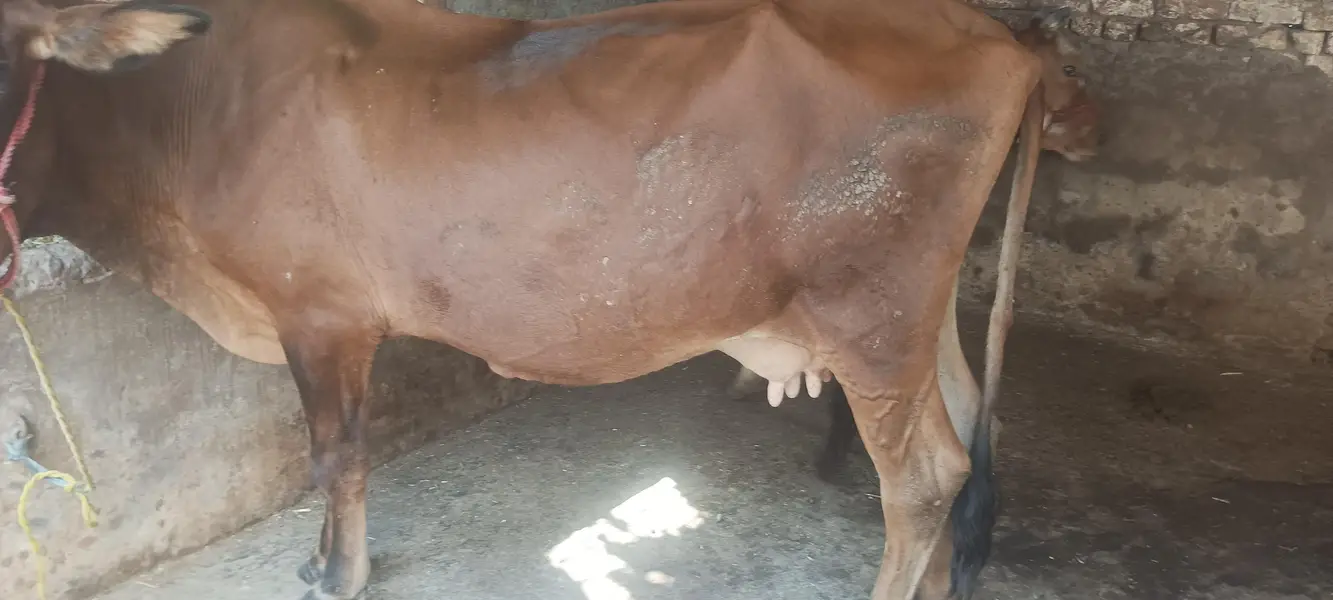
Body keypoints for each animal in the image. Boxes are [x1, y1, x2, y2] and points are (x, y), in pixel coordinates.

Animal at [0, 0, 1061, 598]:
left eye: (11, 68)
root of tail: (1001, 34)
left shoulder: (322, 315)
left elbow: (334, 458)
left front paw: (336, 574)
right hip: (916, 312)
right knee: (968, 424)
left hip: (869, 309)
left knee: (922, 477)